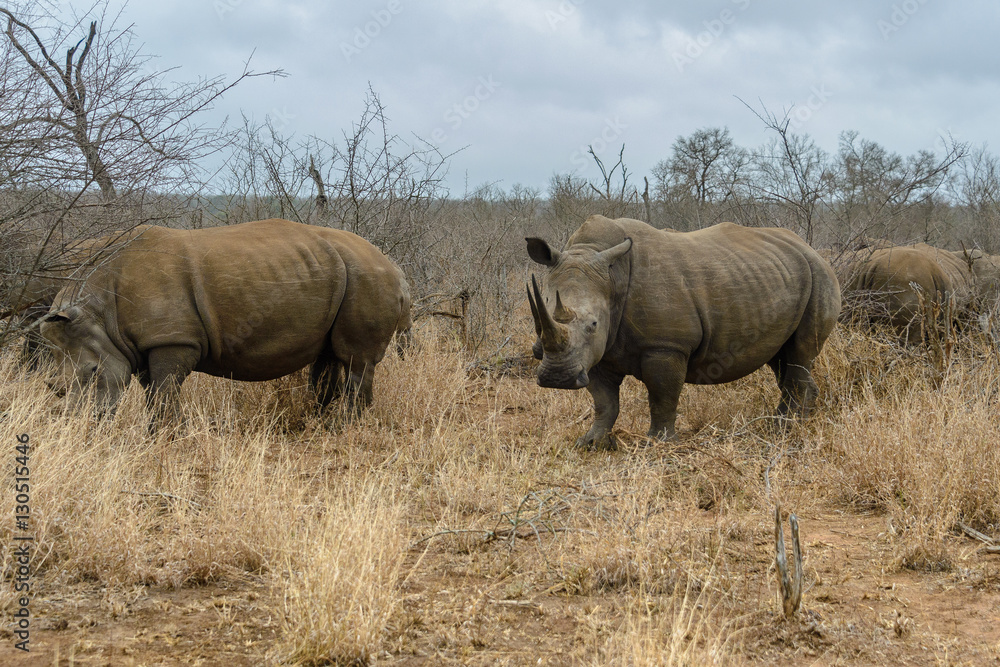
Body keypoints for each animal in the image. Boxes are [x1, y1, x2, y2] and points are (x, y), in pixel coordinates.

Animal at [41, 219, 411, 424]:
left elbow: (164, 391)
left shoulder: (173, 338)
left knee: (357, 360)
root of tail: (396, 268)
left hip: (367, 277)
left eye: (91, 372)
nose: (80, 425)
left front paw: (166, 437)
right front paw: (165, 435)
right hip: (344, 274)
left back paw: (344, 428)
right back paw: (318, 422)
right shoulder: (144, 342)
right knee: (329, 358)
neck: (98, 308)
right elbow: (155, 393)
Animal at [526, 215, 841, 449]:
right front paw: (590, 443)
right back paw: (787, 424)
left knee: (799, 355)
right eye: (537, 322)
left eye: (592, 324)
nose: (557, 379)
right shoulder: (599, 352)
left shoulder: (665, 345)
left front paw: (657, 445)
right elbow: (604, 402)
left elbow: (662, 397)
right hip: (780, 276)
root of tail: (809, 248)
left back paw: (785, 431)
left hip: (820, 276)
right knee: (782, 359)